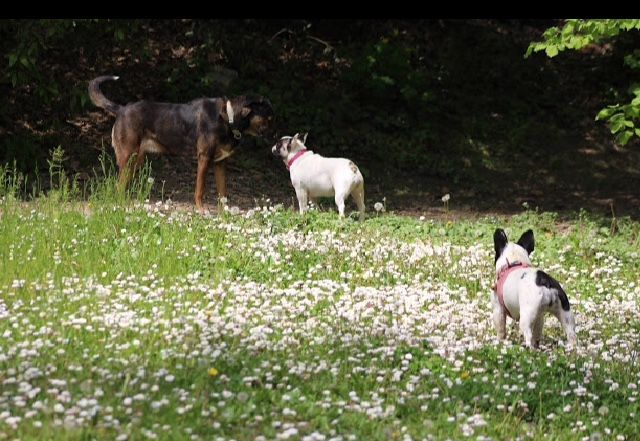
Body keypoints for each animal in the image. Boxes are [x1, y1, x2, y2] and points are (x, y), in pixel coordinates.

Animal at [87, 75, 272, 211]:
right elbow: (200, 189)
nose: (271, 135)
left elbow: (223, 192)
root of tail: (121, 109)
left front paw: (225, 212)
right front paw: (201, 210)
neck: (228, 118)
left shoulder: (220, 163)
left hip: (136, 159)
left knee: (123, 184)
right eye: (268, 116)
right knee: (118, 186)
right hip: (128, 157)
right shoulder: (204, 158)